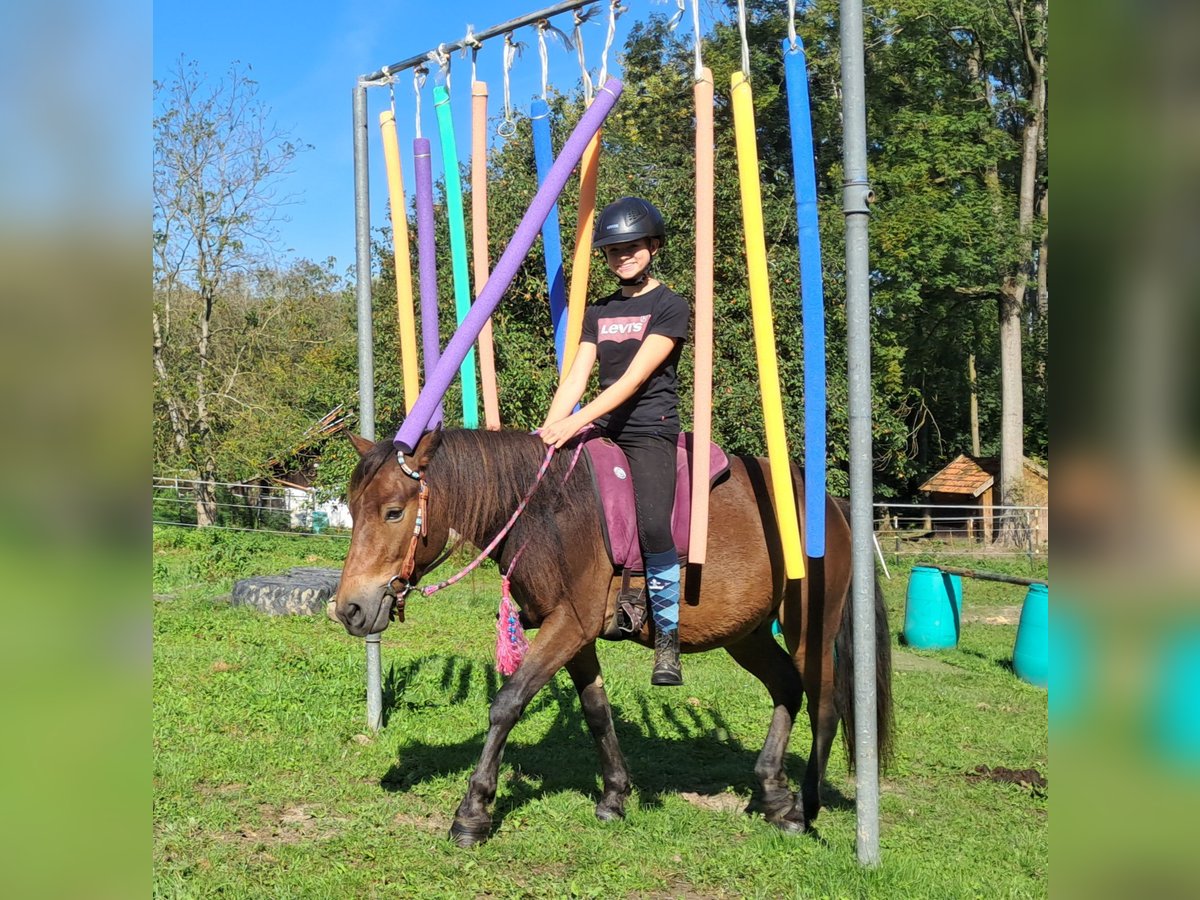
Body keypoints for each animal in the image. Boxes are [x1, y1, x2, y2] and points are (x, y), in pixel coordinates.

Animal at [331, 427, 892, 849]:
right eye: (353, 510)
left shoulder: (569, 624)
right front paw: (615, 796)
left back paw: (807, 806)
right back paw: (775, 794)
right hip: (746, 634)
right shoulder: (576, 636)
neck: (546, 510)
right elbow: (596, 711)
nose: (349, 609)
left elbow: (507, 703)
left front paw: (473, 811)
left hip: (809, 628)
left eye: (394, 512)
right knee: (786, 689)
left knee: (824, 704)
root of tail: (835, 506)